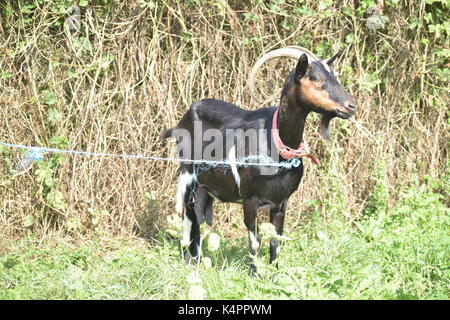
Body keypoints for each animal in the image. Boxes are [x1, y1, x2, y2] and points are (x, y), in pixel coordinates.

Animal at [163, 47, 356, 272]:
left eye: (334, 77)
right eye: (317, 80)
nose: (351, 106)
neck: (278, 146)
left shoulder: (281, 201)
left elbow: (275, 241)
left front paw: (274, 274)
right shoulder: (249, 198)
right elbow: (254, 241)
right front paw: (254, 273)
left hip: (205, 187)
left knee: (197, 219)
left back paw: (197, 259)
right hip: (188, 176)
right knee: (188, 218)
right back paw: (188, 261)